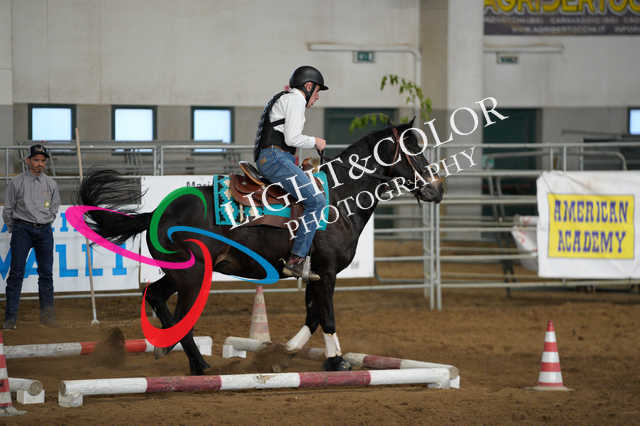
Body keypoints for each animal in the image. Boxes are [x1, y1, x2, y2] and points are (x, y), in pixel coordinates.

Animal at [78, 120, 444, 375]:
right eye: (413, 149)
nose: (437, 189)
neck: (339, 198)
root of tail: (158, 212)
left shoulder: (313, 275)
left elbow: (312, 316)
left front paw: (283, 352)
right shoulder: (326, 272)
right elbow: (326, 317)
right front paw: (337, 360)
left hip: (180, 273)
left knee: (154, 295)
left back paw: (169, 350)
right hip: (193, 276)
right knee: (180, 314)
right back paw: (197, 364)